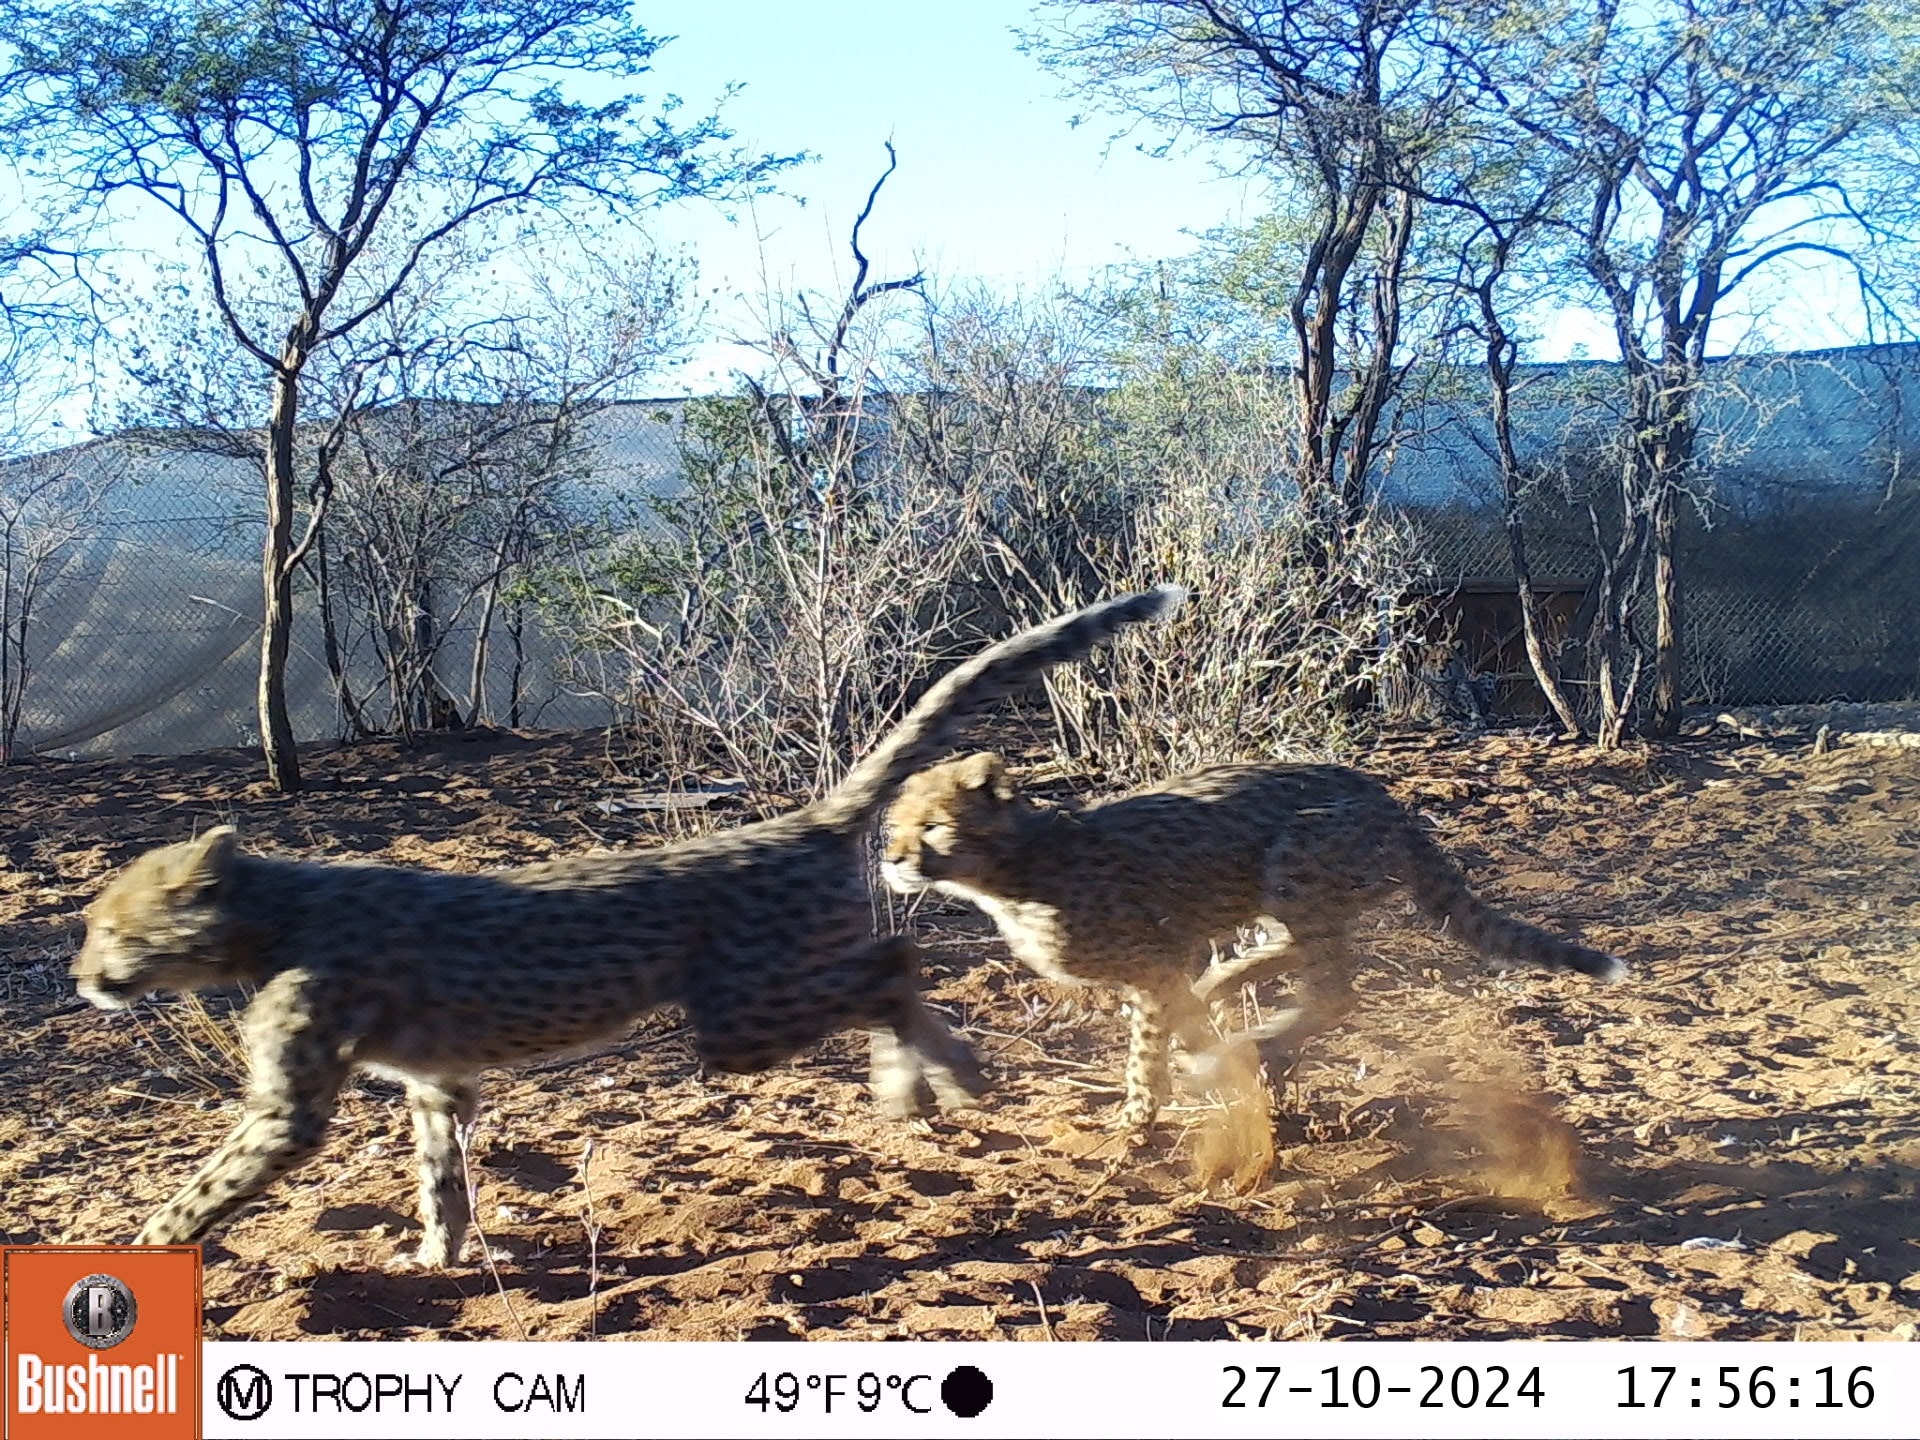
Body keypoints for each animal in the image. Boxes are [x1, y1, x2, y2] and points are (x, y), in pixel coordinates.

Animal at [69, 584, 1186, 1267]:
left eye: (109, 930)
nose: (82, 977)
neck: (275, 910)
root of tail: (795, 819)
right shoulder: (436, 1078)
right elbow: (441, 1177)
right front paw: (438, 1254)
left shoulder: (290, 1108)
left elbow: (207, 1186)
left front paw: (136, 1251)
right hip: (752, 1009)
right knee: (892, 966)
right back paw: (922, 1083)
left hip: (739, 1018)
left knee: (896, 963)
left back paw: (935, 1077)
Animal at [882, 753, 1626, 1142]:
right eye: (893, 825)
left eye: (933, 826)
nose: (890, 859)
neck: (1015, 868)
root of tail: (1382, 793)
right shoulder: (1160, 969)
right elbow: (1181, 1027)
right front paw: (1212, 1067)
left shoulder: (1152, 965)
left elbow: (1146, 1054)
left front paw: (1137, 1117)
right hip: (1287, 895)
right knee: (1295, 961)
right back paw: (1233, 992)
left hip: (1297, 863)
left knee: (1337, 990)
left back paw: (1252, 1025)